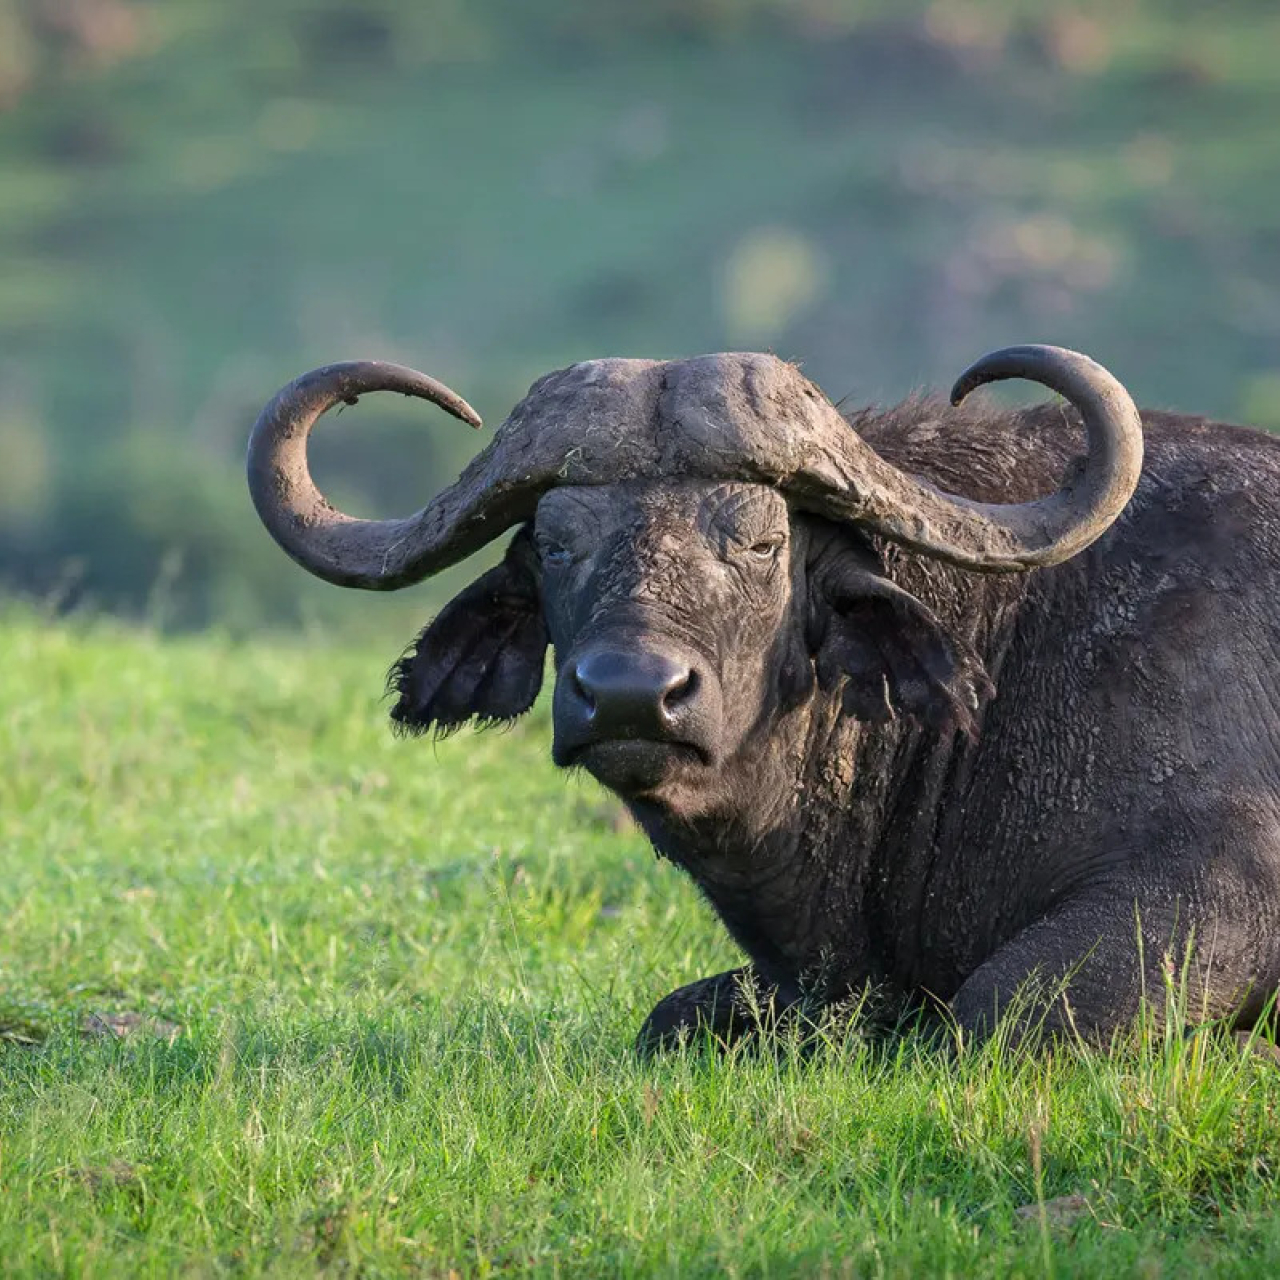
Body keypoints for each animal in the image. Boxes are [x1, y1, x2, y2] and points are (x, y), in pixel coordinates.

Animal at [247, 346, 1280, 1051]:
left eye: (761, 541)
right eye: (555, 543)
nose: (630, 696)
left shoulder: (1212, 889)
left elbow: (995, 1015)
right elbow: (673, 1017)